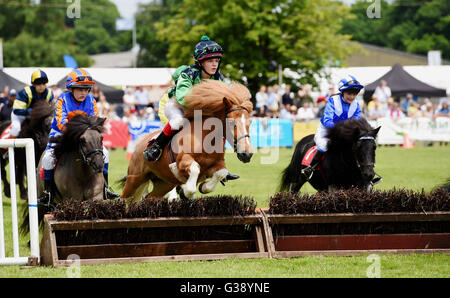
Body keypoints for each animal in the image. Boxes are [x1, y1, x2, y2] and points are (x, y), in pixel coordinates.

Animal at [120, 79, 253, 203]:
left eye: (250, 123)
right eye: (231, 123)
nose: (247, 154)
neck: (205, 139)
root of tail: (140, 143)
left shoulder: (216, 165)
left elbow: (221, 173)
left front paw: (203, 186)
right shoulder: (183, 160)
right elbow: (193, 176)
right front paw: (184, 188)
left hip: (164, 183)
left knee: (148, 197)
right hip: (135, 178)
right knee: (124, 198)